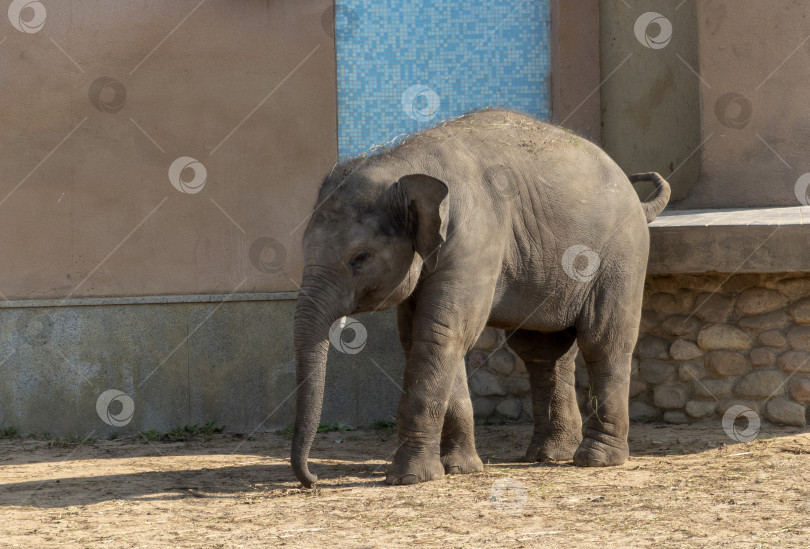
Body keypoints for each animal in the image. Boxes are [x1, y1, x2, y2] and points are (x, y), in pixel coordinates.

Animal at [290, 109, 668, 486]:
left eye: (360, 258)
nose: (313, 480)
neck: (405, 164)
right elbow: (425, 337)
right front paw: (460, 468)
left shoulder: (475, 238)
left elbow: (441, 333)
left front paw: (411, 478)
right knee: (543, 352)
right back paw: (548, 455)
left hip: (621, 256)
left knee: (604, 341)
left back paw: (596, 460)